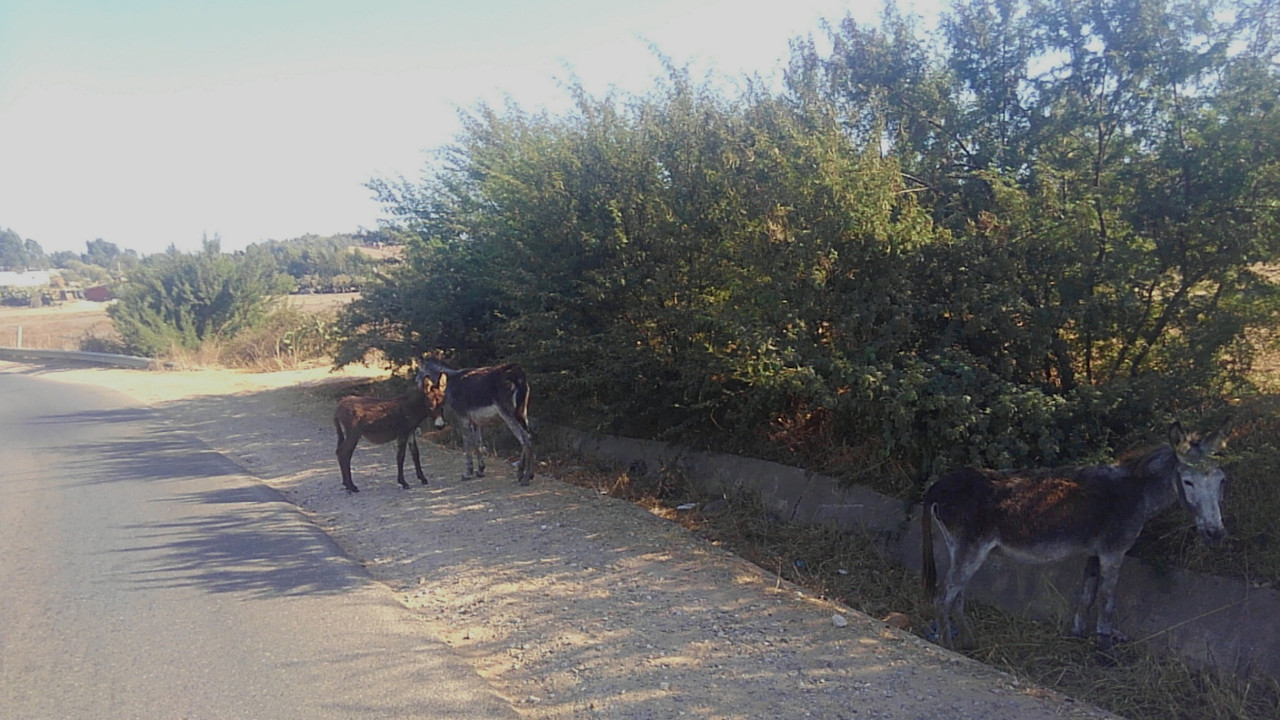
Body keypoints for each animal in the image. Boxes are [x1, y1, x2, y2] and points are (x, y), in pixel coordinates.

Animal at [333, 365, 445, 493]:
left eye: (442, 404)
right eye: (430, 405)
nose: (441, 426)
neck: (411, 408)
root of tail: (339, 406)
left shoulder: (410, 433)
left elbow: (415, 455)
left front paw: (422, 478)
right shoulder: (402, 433)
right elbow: (400, 456)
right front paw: (403, 482)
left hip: (351, 435)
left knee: (344, 454)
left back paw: (347, 485)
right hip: (353, 434)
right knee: (342, 453)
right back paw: (351, 486)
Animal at [921, 422, 1228, 652]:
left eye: (1221, 481)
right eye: (1188, 481)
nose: (1216, 534)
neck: (1137, 490)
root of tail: (938, 486)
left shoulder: (1095, 552)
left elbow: (1086, 594)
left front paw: (1078, 634)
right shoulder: (1113, 552)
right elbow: (1106, 600)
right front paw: (1104, 648)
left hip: (962, 549)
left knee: (957, 594)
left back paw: (969, 643)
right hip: (971, 549)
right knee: (943, 596)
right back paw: (948, 647)